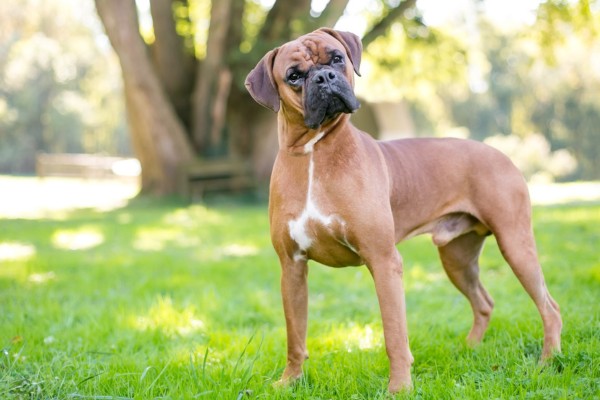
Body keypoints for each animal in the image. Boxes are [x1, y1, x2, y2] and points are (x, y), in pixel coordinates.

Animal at [244, 28, 564, 394]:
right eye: (294, 76)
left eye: (337, 58)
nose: (324, 77)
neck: (314, 152)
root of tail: (500, 153)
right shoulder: (292, 268)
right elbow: (295, 335)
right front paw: (290, 382)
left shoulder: (383, 262)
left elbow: (395, 334)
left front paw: (399, 387)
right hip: (457, 259)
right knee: (484, 303)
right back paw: (469, 350)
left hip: (515, 245)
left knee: (550, 307)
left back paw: (548, 361)